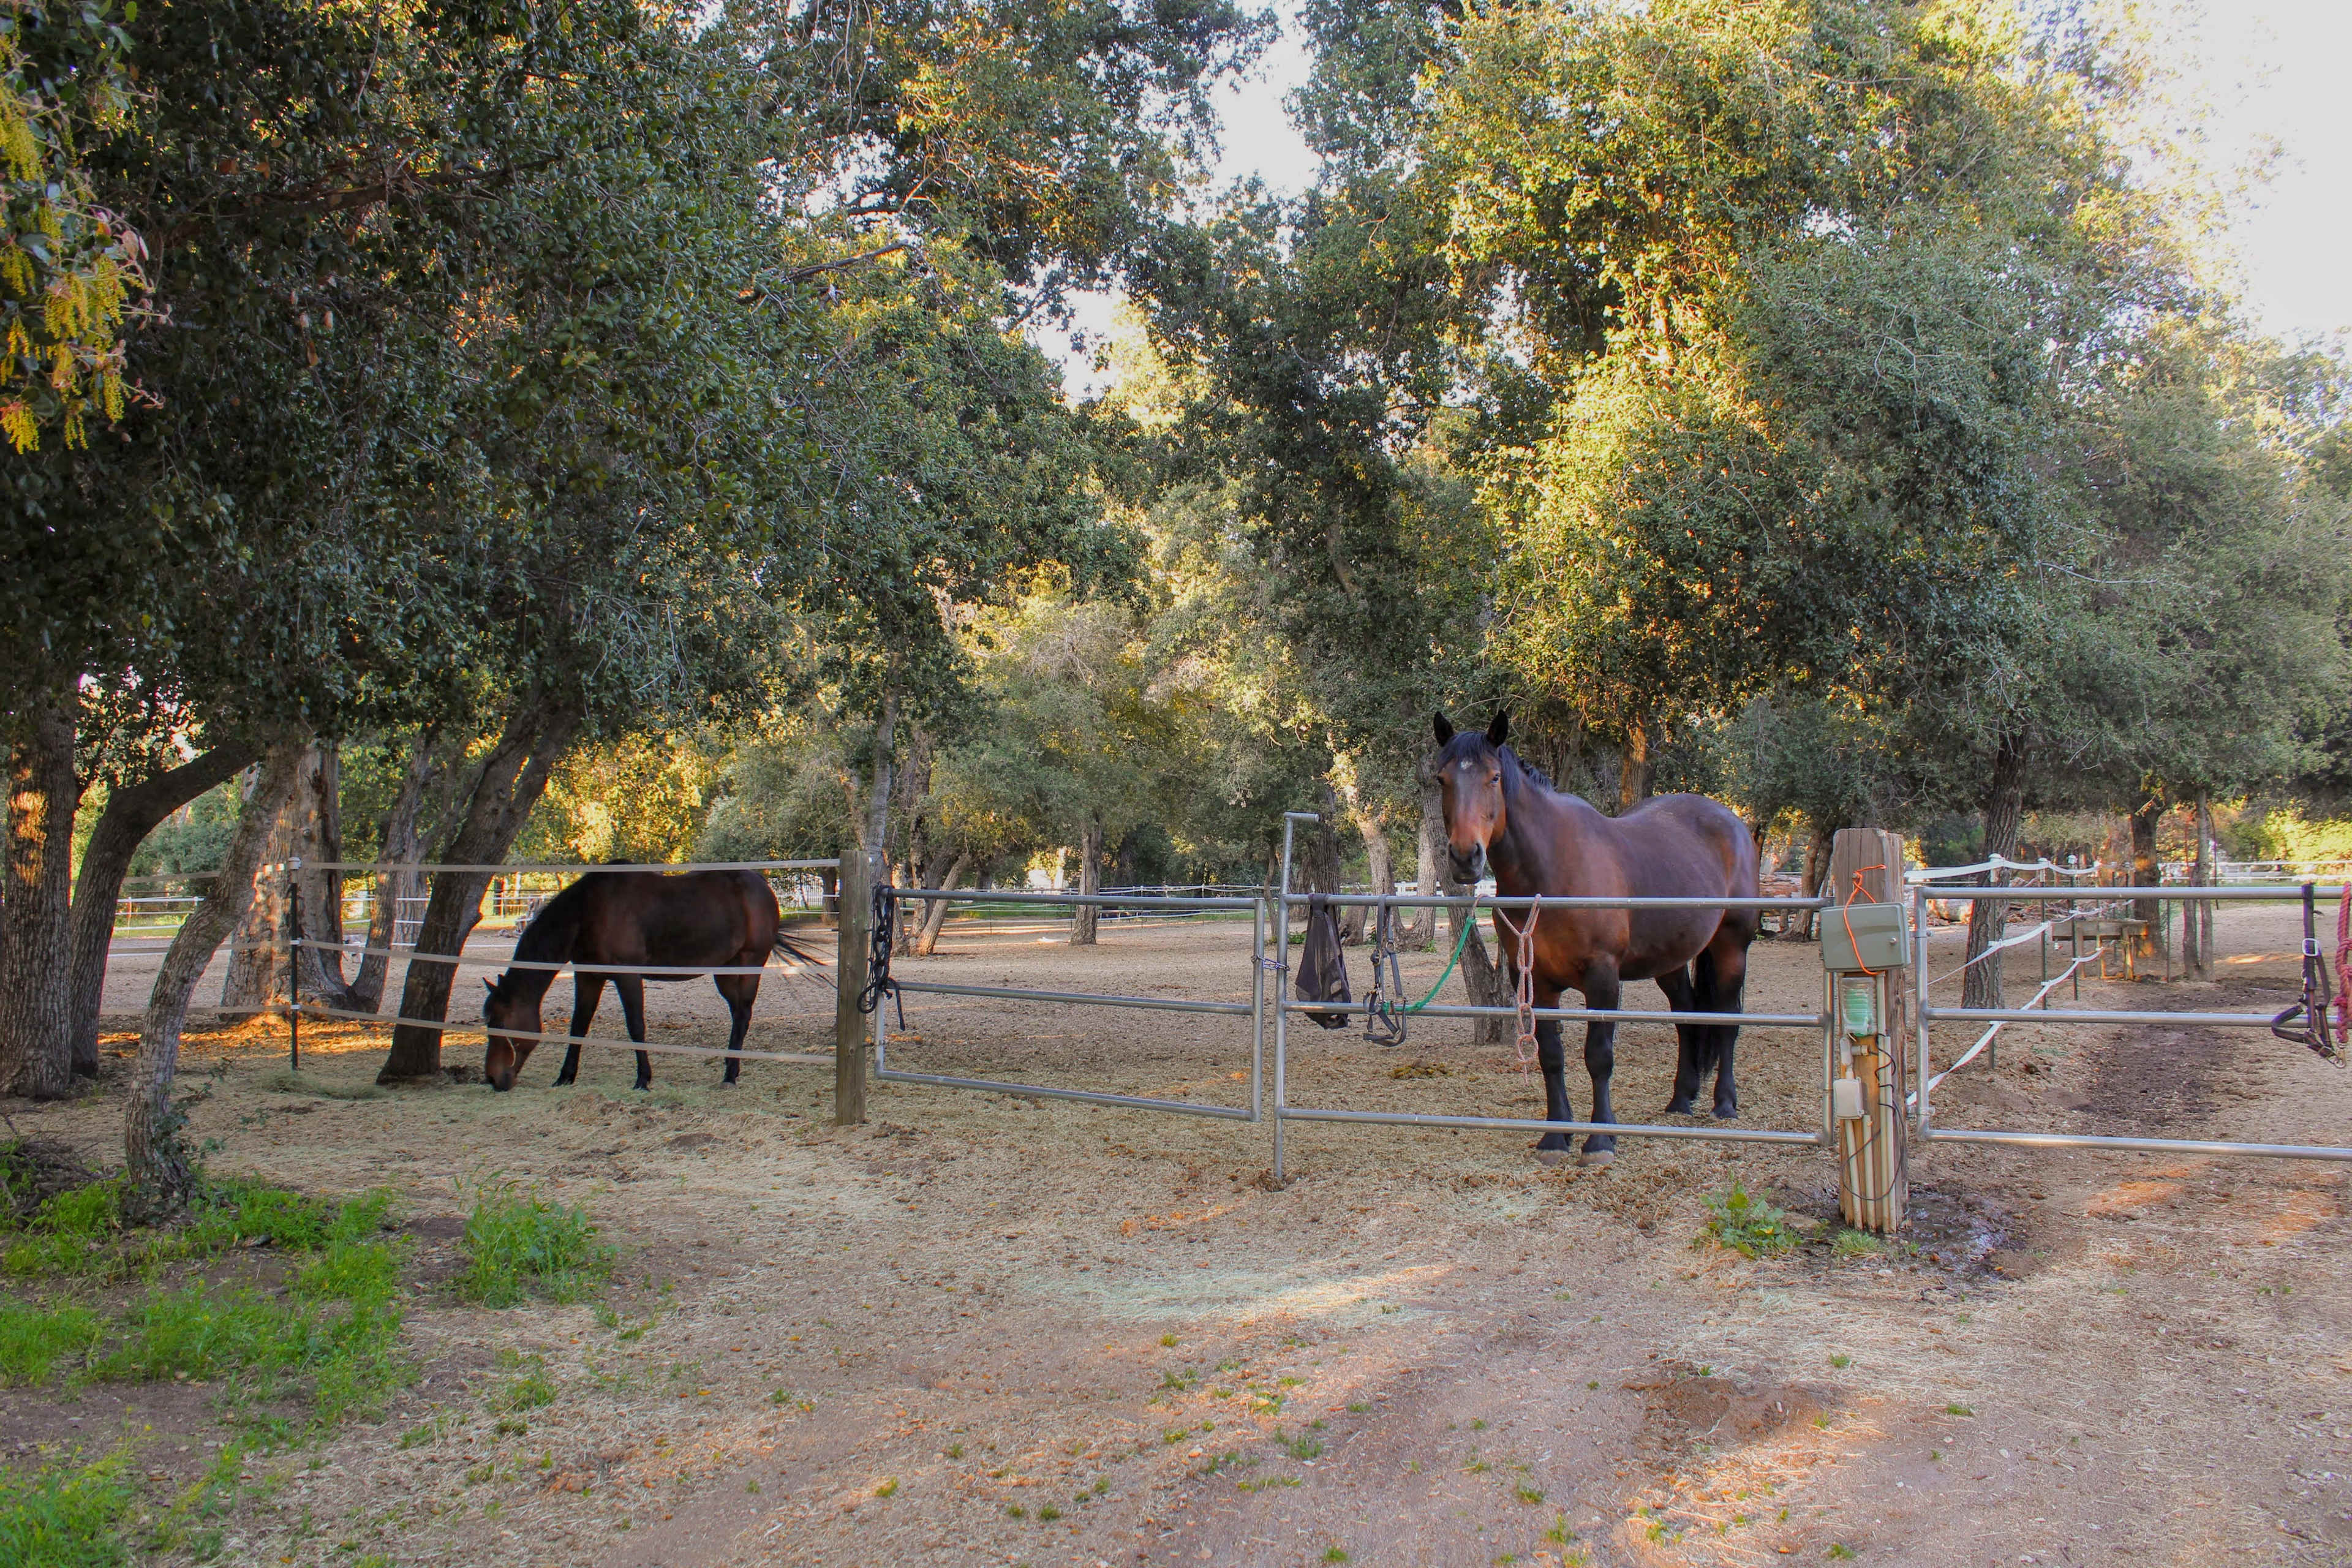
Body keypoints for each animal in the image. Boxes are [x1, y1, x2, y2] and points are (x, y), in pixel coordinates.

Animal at [480, 869, 822, 1092]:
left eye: (501, 1023)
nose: (494, 1079)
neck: (588, 911)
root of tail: (762, 884)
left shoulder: (627, 976)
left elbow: (636, 1027)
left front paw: (643, 1079)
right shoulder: (588, 976)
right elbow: (579, 1025)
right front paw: (565, 1076)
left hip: (749, 964)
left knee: (744, 1014)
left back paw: (731, 1074)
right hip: (725, 972)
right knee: (739, 1013)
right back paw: (729, 1069)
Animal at [1433, 710, 1760, 1165]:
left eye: (1494, 777)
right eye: (1442, 779)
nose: (1466, 857)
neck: (1551, 872)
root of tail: (1733, 823)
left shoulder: (1602, 977)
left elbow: (1599, 1057)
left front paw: (1601, 1138)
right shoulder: (1534, 980)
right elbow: (1551, 1056)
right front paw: (1556, 1136)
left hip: (1732, 947)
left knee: (1727, 1018)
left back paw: (1725, 1103)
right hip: (1672, 961)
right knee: (1687, 1016)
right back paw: (1681, 1100)